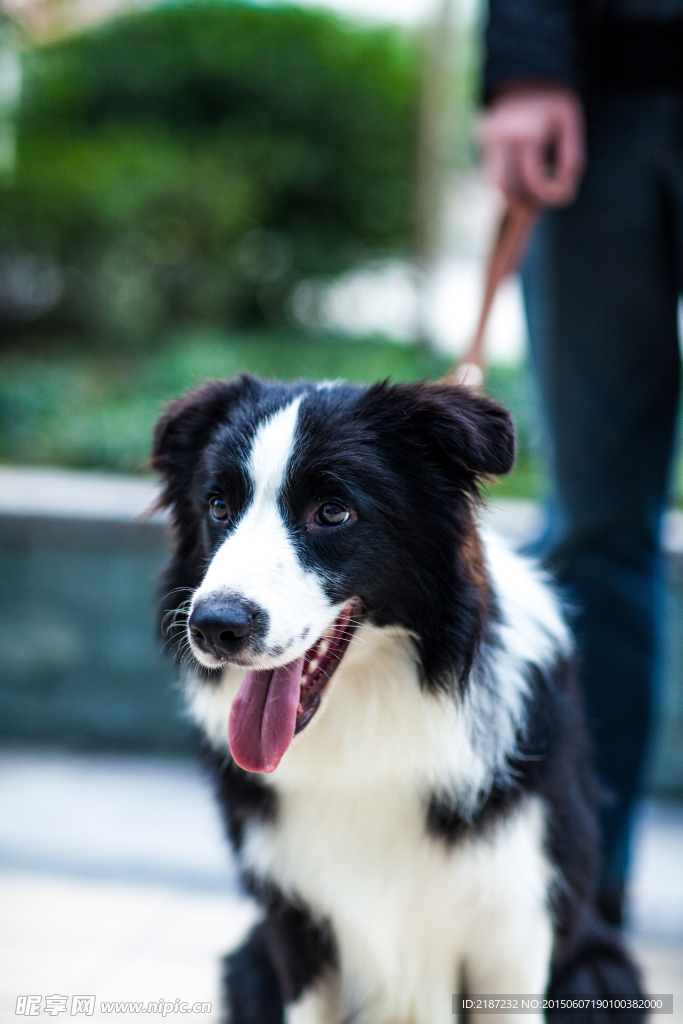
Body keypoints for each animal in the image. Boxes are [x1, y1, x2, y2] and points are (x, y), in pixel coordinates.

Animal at [152, 376, 643, 1024]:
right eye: (218, 507)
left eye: (333, 512)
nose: (214, 627)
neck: (371, 718)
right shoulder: (294, 921)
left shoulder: (514, 927)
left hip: (600, 968)